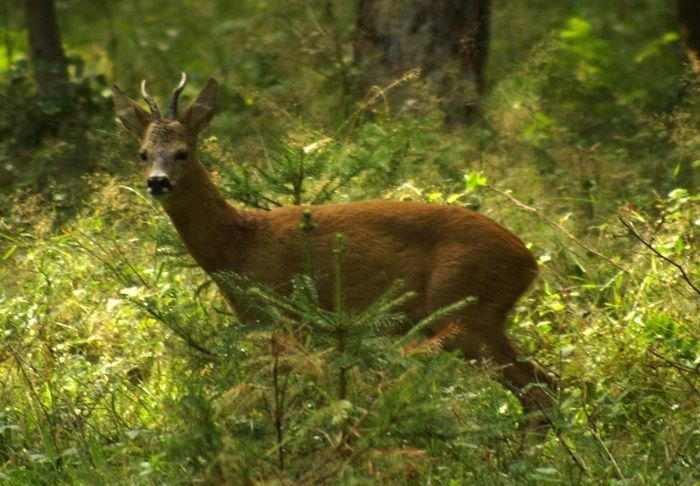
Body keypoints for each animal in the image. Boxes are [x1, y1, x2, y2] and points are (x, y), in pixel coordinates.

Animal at [112, 73, 556, 430]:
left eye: (183, 152)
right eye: (143, 153)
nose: (157, 181)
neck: (240, 246)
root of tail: (529, 262)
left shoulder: (286, 315)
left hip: (466, 310)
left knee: (540, 389)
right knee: (540, 388)